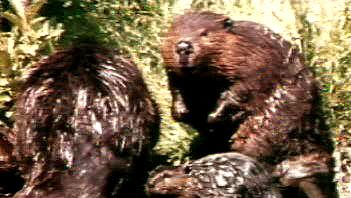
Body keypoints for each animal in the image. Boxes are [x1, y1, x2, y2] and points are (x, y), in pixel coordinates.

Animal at [164, 11, 336, 197]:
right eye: (174, 33)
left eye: (204, 33)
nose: (183, 47)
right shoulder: (177, 76)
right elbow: (176, 87)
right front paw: (180, 112)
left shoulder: (255, 61)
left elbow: (241, 90)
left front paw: (213, 117)